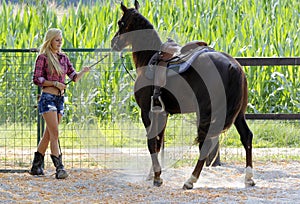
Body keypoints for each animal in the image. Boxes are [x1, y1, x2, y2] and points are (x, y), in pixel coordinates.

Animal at [110, 0, 255, 189]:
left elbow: (151, 143)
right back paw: (249, 178)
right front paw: (153, 174)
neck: (149, 58)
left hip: (207, 113)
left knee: (206, 143)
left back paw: (190, 180)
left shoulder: (146, 112)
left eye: (121, 22)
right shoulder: (162, 113)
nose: (113, 43)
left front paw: (157, 177)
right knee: (246, 137)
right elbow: (159, 143)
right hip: (238, 114)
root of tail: (233, 66)